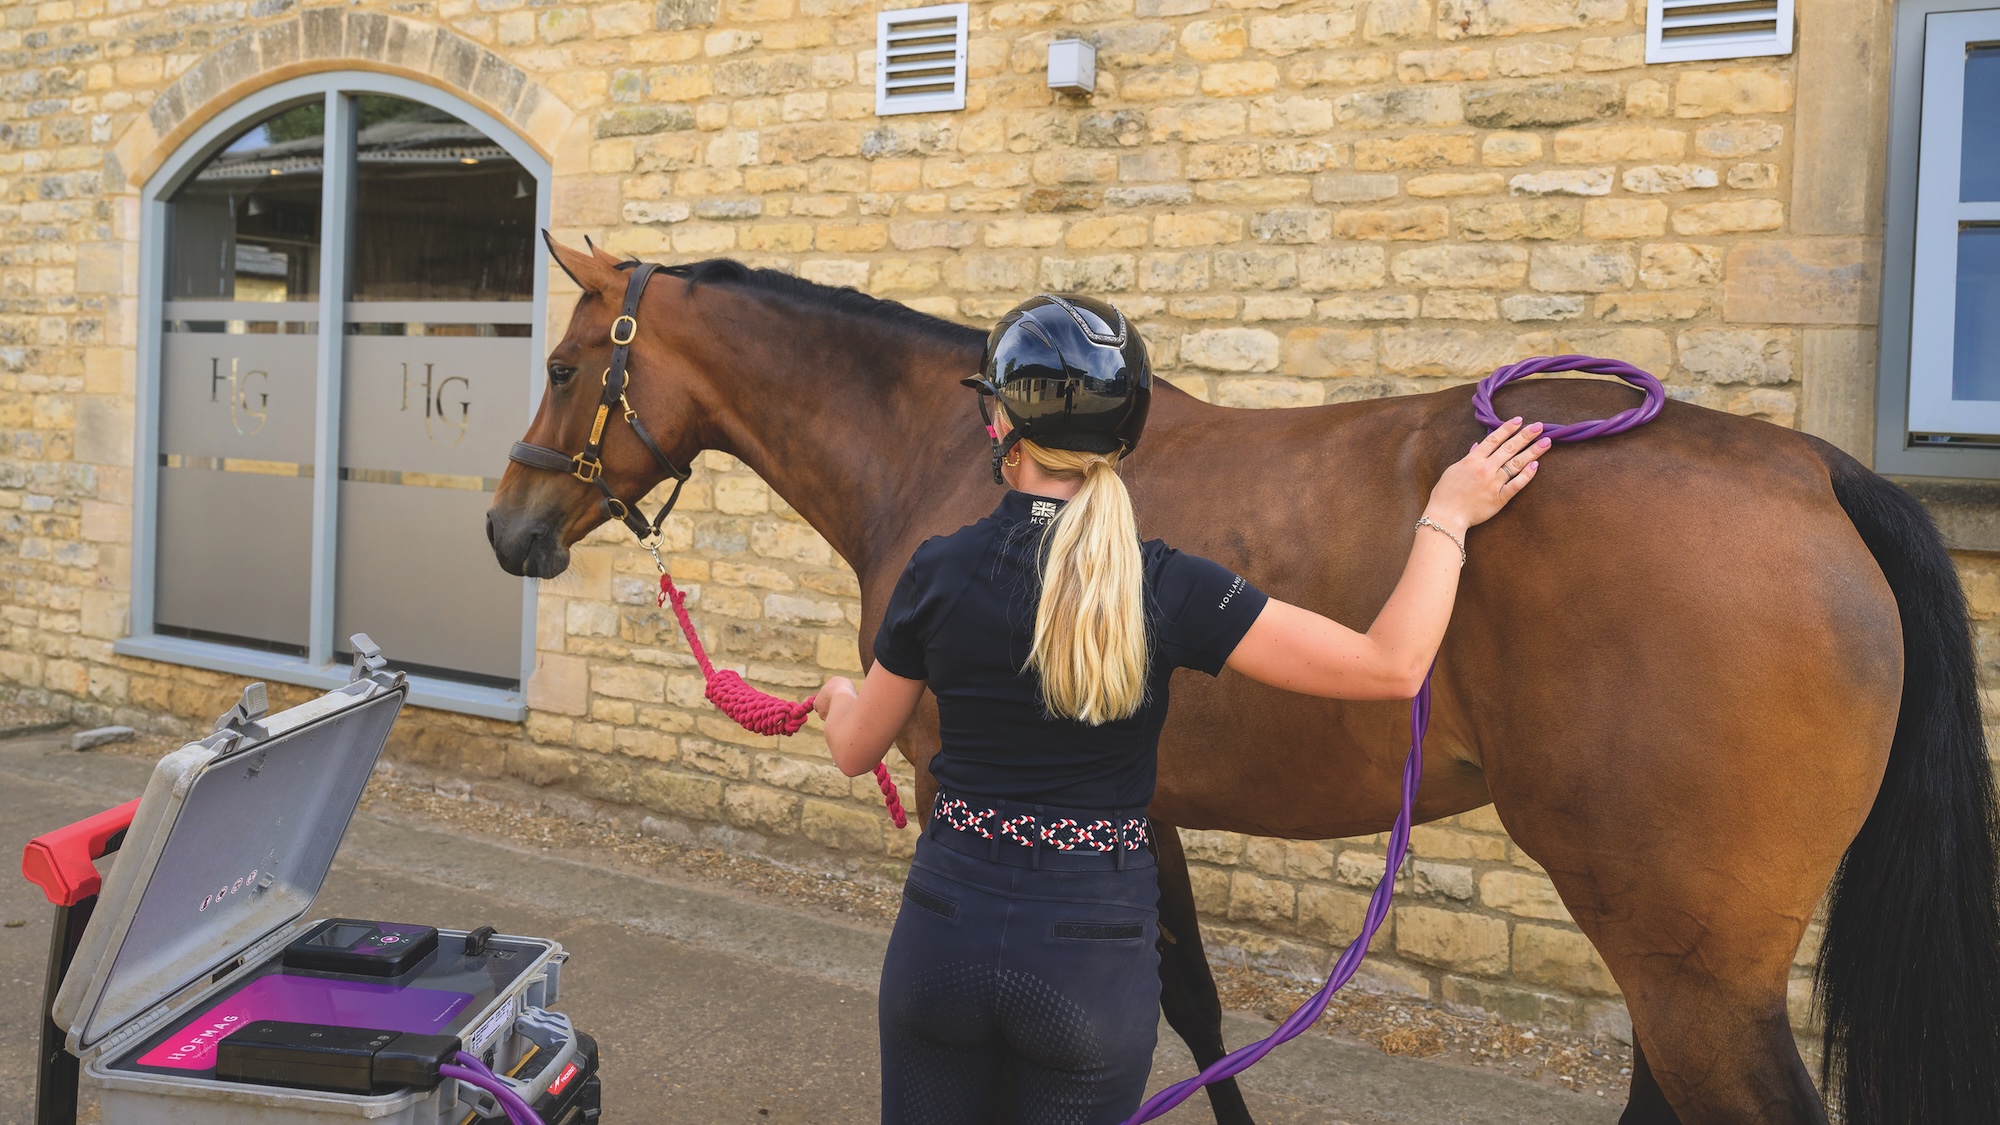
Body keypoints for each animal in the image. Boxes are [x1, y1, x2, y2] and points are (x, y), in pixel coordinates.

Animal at [486, 237, 2000, 1125]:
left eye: (561, 362)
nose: (509, 531)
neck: (959, 456)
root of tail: (1815, 474)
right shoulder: (1138, 810)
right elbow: (1192, 1002)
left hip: (1688, 953)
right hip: (1671, 943)